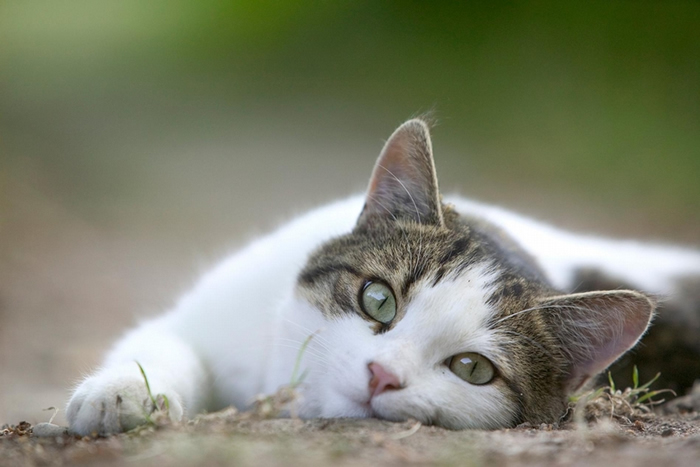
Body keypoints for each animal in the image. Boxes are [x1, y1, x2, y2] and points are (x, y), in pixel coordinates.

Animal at [67, 117, 700, 436]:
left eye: (472, 369)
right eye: (378, 300)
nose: (381, 376)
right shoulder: (211, 313)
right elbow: (165, 344)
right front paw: (119, 394)